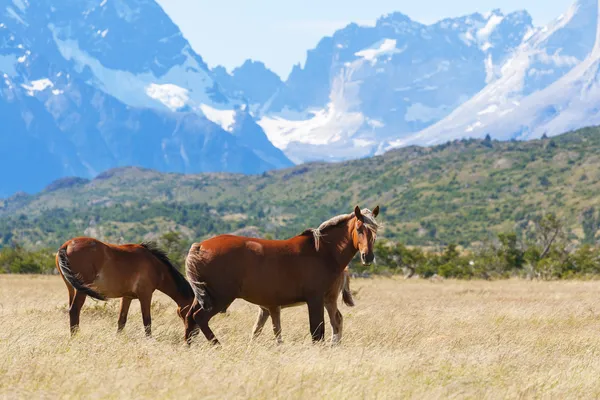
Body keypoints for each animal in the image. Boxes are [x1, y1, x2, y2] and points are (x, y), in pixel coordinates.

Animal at [55, 238, 193, 338]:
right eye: (189, 313)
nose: (191, 336)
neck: (155, 266)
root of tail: (67, 245)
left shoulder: (127, 297)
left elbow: (121, 321)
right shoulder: (145, 295)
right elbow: (147, 321)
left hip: (72, 289)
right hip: (81, 291)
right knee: (74, 310)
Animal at [184, 205, 380, 346]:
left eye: (375, 231)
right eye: (359, 229)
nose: (368, 257)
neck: (323, 251)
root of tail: (200, 246)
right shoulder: (315, 299)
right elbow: (317, 332)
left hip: (204, 297)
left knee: (189, 318)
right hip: (220, 298)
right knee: (198, 318)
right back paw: (217, 345)